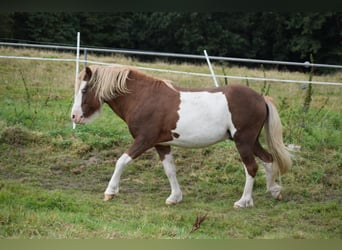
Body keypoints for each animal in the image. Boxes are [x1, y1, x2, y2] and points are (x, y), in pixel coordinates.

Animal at [71, 63, 292, 208]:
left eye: (84, 89)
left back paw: (244, 201)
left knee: (252, 167)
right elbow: (170, 170)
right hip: (251, 141)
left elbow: (121, 161)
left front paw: (110, 192)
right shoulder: (161, 144)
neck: (144, 98)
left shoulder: (144, 140)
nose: (74, 116)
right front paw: (175, 197)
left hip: (243, 141)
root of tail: (260, 98)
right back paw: (275, 191)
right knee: (268, 160)